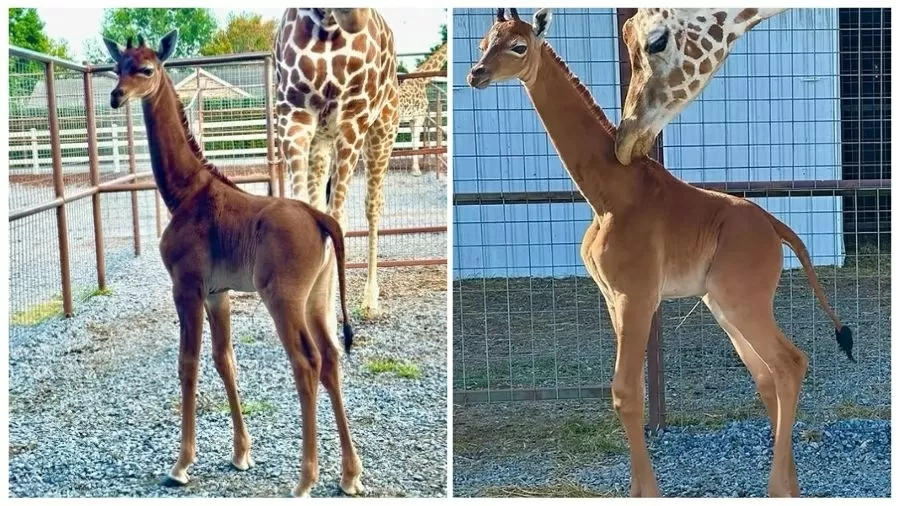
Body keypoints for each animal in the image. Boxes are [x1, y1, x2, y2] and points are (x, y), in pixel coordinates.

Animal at [102, 29, 362, 496]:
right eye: (118, 67)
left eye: (146, 69)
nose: (116, 96)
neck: (184, 193)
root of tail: (321, 218)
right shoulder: (216, 293)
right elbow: (226, 361)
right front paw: (241, 454)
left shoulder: (186, 287)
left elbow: (188, 364)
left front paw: (181, 464)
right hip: (318, 298)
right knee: (332, 358)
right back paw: (350, 475)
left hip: (283, 299)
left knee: (307, 362)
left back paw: (305, 480)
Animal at [276, 7, 400, 316]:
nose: (355, 15)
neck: (328, 26)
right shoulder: (293, 116)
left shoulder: (353, 119)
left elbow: (338, 219)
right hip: (321, 142)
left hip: (382, 131)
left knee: (372, 206)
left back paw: (370, 300)